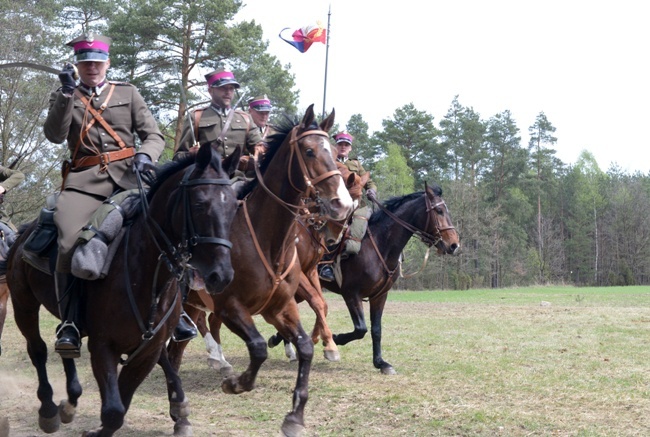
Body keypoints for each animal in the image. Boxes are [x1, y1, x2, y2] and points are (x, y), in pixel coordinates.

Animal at [6, 141, 239, 434]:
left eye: (234, 206)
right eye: (199, 203)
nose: (222, 275)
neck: (148, 277)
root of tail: (25, 232)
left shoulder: (146, 352)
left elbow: (120, 405)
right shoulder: (103, 346)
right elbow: (114, 411)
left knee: (65, 342)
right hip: (23, 304)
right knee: (37, 349)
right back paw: (49, 409)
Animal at [166, 104, 350, 434]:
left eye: (333, 152)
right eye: (309, 151)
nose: (343, 204)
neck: (267, 239)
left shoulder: (281, 307)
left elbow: (305, 345)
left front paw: (295, 416)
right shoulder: (231, 307)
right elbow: (259, 347)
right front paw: (235, 383)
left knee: (177, 352)